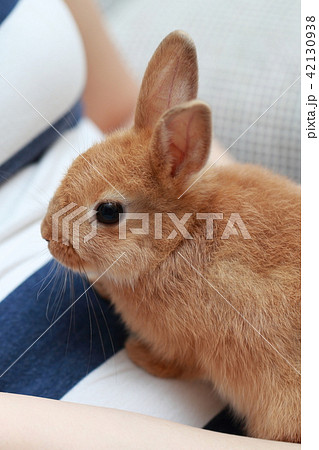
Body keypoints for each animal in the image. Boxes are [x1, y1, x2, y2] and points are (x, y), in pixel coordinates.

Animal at [42, 31, 300, 442]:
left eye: (108, 212)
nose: (47, 236)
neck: (177, 239)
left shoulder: (192, 346)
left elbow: (180, 365)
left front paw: (136, 353)